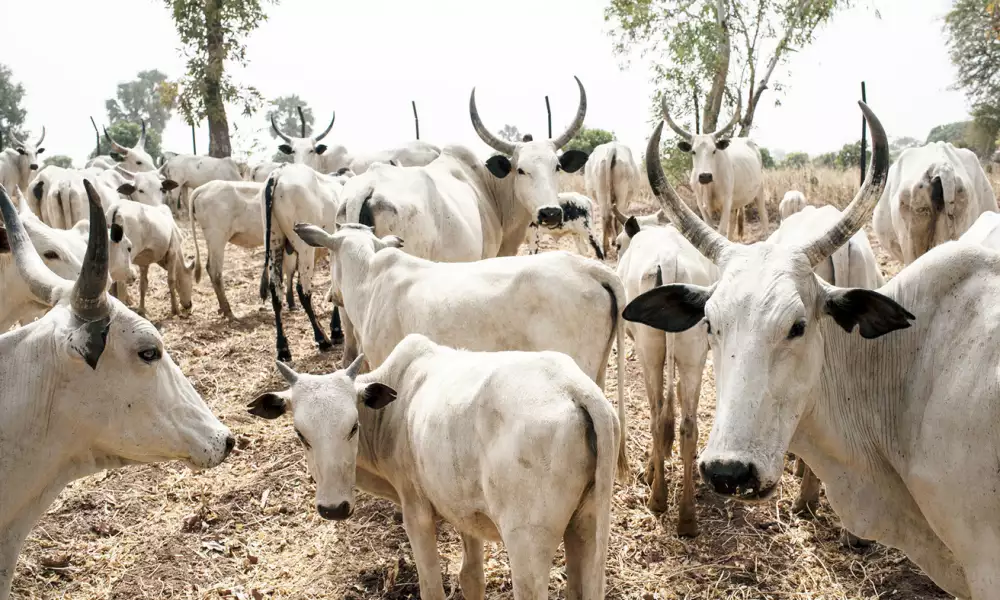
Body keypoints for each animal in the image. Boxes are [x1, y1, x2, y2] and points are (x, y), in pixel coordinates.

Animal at [249, 335, 620, 599]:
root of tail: (576, 388)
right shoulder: (466, 513)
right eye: (301, 434)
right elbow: (471, 578)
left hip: (527, 545)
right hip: (585, 525)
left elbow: (432, 589)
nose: (333, 508)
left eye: (353, 426)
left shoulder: (417, 513)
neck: (394, 408)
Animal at [259, 164, 345, 361]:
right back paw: (322, 339)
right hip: (305, 249)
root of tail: (278, 173)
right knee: (303, 291)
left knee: (276, 291)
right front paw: (336, 331)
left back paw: (283, 348)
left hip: (274, 242)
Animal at [614, 212, 716, 536]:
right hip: (693, 353)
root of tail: (669, 262)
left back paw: (657, 498)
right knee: (688, 426)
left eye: (617, 243)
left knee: (658, 416)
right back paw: (687, 518)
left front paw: (650, 469)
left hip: (649, 351)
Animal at [662, 95, 767, 240]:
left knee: (763, 217)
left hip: (759, 191)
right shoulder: (702, 206)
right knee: (732, 223)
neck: (709, 187)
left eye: (714, 151)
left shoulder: (726, 203)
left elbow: (721, 231)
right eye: (693, 151)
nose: (705, 176)